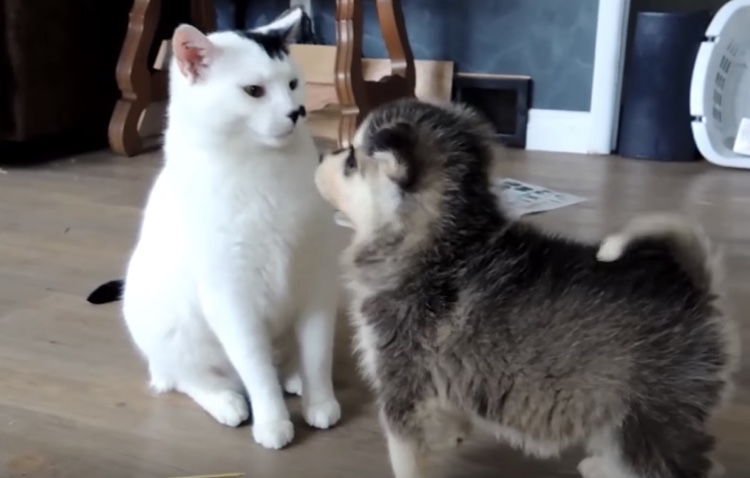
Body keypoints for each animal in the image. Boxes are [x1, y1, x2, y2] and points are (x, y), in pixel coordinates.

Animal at [314, 98, 740, 478]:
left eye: (351, 160)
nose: (321, 154)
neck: (445, 239)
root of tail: (690, 287)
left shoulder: (401, 382)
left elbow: (404, 456)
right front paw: (452, 434)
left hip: (649, 419)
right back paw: (601, 466)